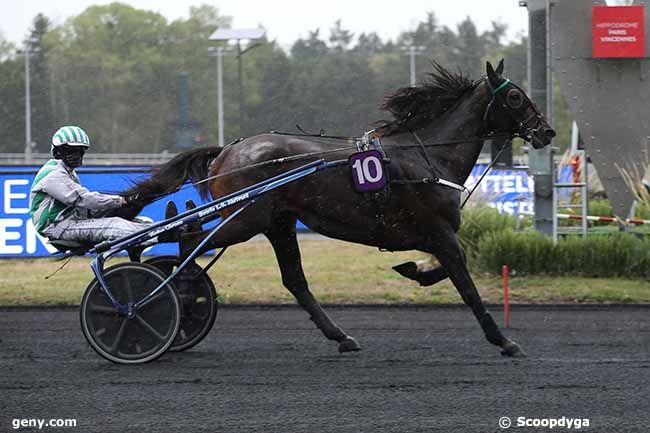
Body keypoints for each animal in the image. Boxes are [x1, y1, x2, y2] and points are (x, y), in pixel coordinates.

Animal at [121, 60, 552, 358]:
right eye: (515, 97)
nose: (547, 131)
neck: (426, 158)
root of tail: (228, 151)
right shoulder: (440, 232)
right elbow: (466, 285)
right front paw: (504, 340)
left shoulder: (434, 236)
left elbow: (445, 273)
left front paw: (411, 270)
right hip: (245, 218)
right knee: (189, 238)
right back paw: (166, 299)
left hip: (277, 222)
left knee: (293, 280)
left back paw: (341, 337)